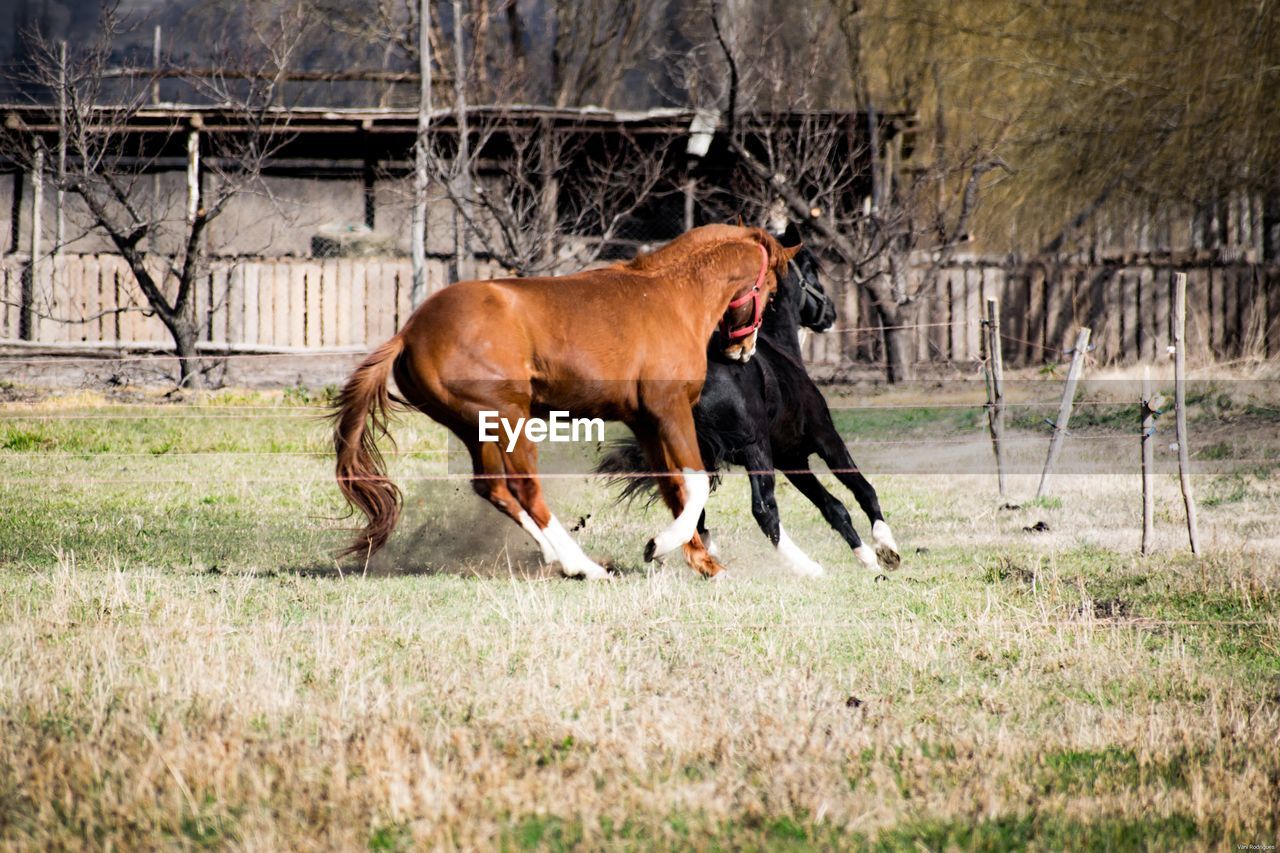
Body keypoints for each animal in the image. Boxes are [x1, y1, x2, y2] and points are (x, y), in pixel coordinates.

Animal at [335, 222, 793, 573]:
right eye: (770, 293)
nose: (743, 351)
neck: (672, 298)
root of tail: (410, 333)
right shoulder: (671, 411)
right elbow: (694, 485)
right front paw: (662, 546)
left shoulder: (646, 422)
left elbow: (674, 488)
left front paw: (703, 562)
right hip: (509, 419)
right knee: (525, 489)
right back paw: (582, 566)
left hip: (474, 427)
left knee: (493, 489)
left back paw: (557, 556)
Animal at [599, 229, 901, 573]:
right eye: (811, 272)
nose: (830, 313)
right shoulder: (824, 438)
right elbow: (862, 489)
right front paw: (885, 549)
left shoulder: (792, 460)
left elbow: (833, 507)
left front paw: (865, 555)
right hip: (755, 448)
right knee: (763, 509)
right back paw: (807, 568)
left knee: (692, 506)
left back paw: (670, 547)